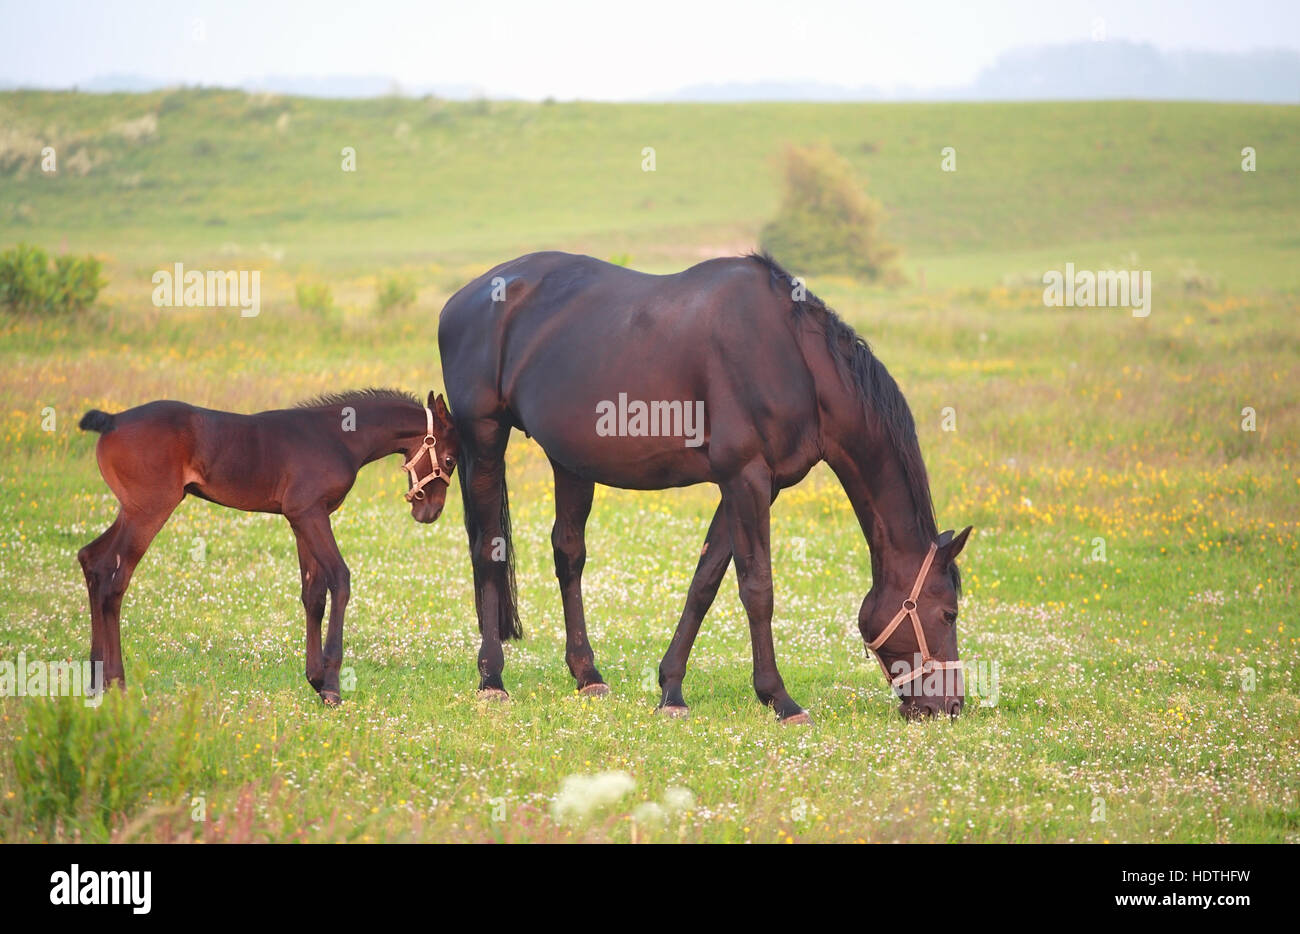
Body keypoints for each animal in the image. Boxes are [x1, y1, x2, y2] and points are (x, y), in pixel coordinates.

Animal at [76, 385, 460, 702]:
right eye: (451, 459)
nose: (430, 511)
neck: (337, 436)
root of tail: (113, 421)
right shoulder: (310, 513)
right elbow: (340, 579)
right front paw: (332, 686)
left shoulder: (303, 518)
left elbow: (313, 595)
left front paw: (315, 679)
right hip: (149, 511)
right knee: (114, 579)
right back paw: (116, 682)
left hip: (133, 510)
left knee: (93, 560)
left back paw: (96, 680)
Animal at [441, 252, 972, 723]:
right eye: (948, 613)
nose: (949, 707)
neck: (794, 358)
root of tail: (463, 299)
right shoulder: (745, 478)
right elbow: (757, 589)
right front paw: (780, 699)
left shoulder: (752, 485)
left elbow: (706, 582)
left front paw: (671, 690)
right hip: (485, 439)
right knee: (488, 551)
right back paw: (492, 680)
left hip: (569, 462)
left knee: (568, 553)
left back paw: (587, 675)